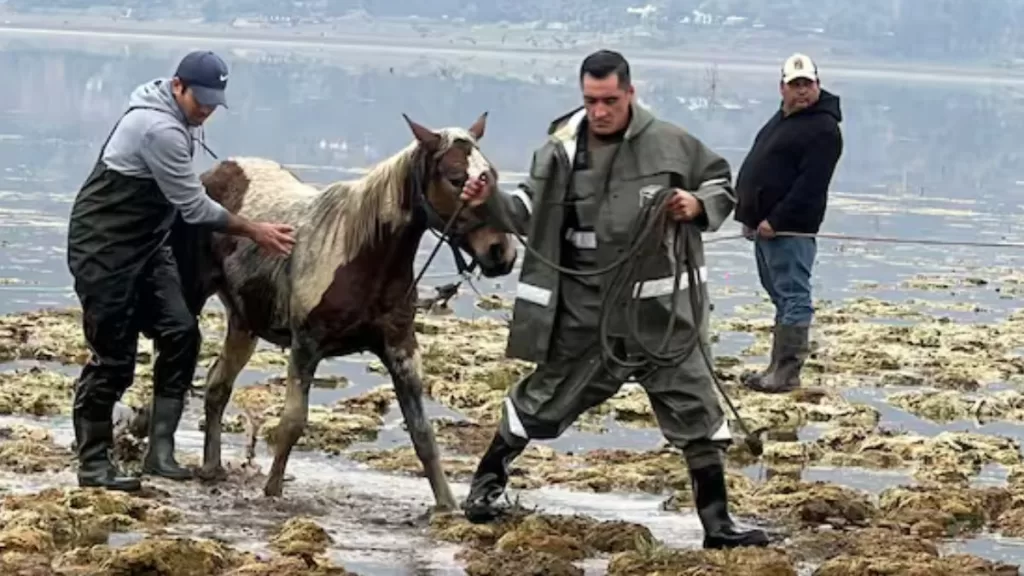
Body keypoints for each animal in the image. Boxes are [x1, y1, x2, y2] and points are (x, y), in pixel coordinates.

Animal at [190, 111, 512, 506]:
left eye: (491, 174)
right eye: (455, 178)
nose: (501, 252)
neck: (362, 254)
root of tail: (214, 174)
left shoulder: (401, 349)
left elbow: (422, 434)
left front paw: (447, 506)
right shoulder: (305, 346)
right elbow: (292, 423)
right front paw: (272, 492)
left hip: (243, 322)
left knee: (217, 386)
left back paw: (211, 467)